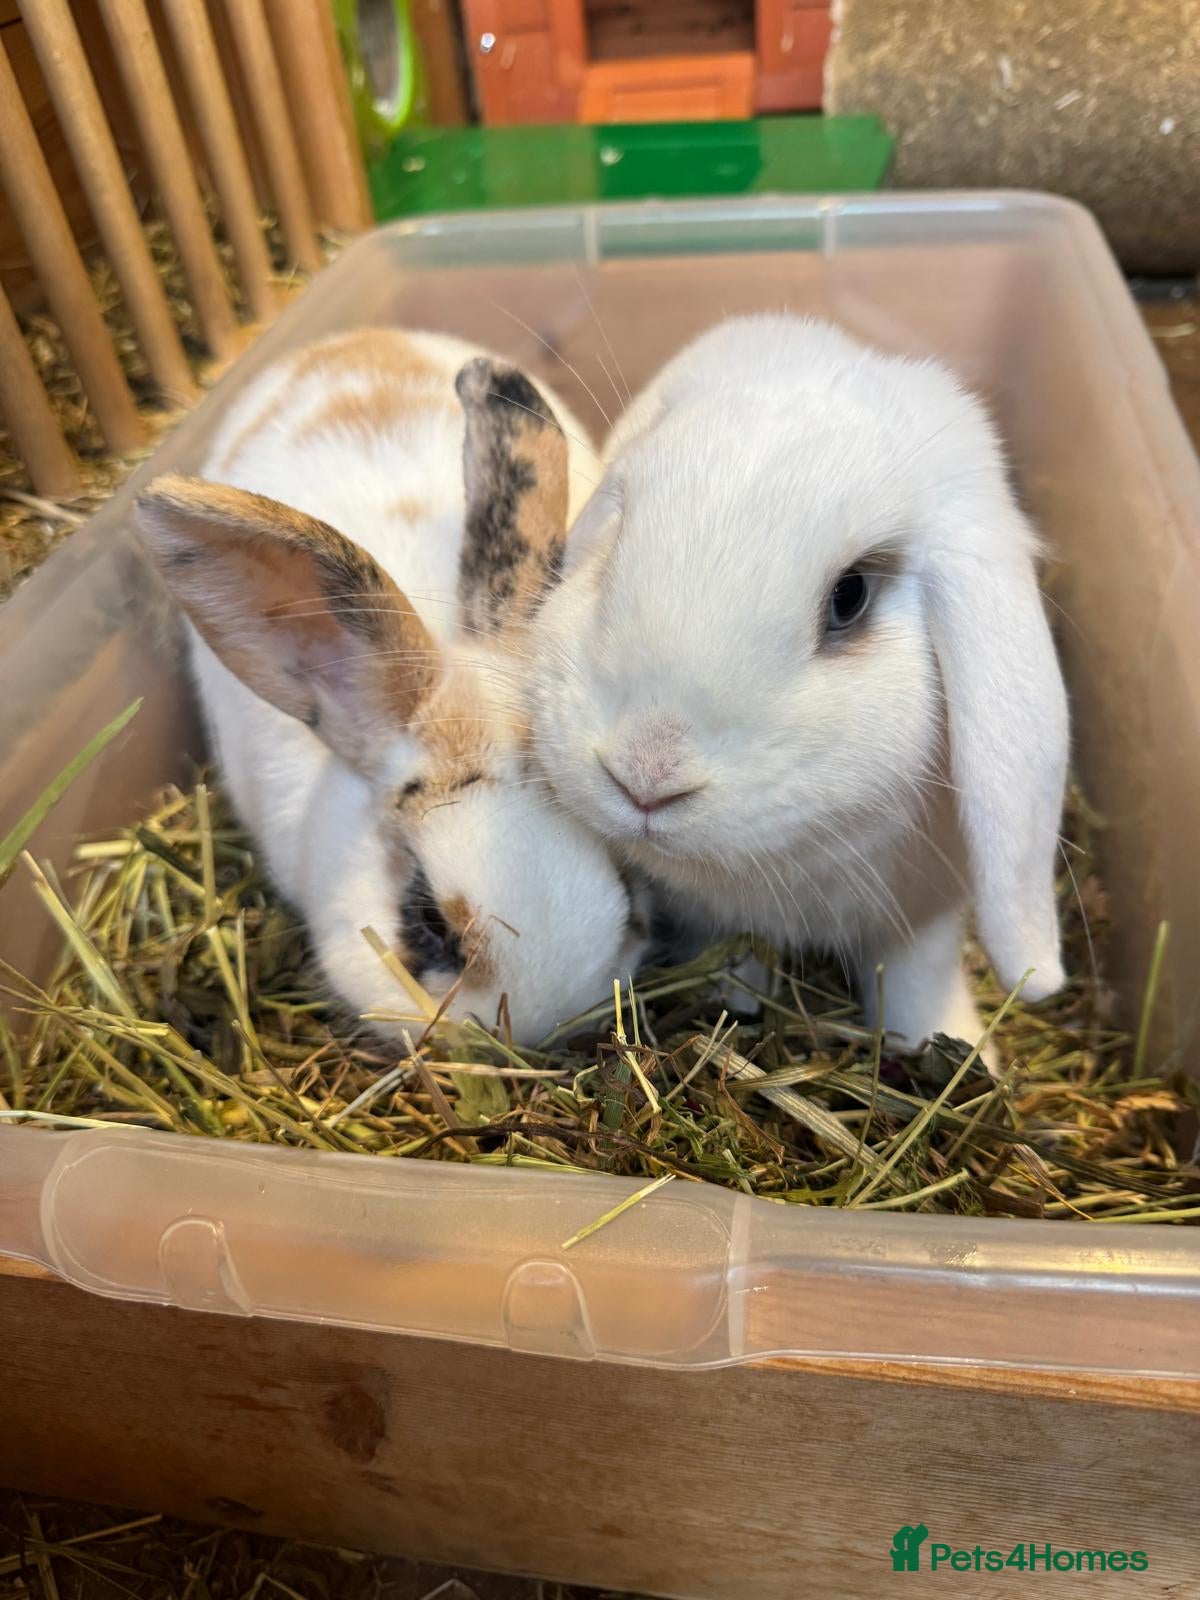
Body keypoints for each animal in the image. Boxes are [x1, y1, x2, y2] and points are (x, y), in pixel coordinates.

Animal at [525, 313, 1070, 1056]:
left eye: (850, 597)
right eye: (613, 545)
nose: (645, 776)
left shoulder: (924, 915)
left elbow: (916, 980)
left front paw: (950, 1045)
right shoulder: (714, 915)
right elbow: (736, 956)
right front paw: (734, 1006)